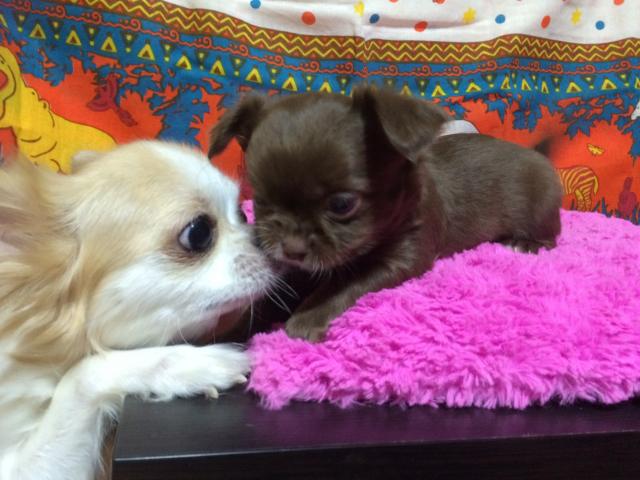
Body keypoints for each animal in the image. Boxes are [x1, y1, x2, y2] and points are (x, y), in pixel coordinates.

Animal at [208, 86, 562, 342]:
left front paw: (308, 315)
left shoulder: (403, 256)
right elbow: (270, 299)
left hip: (543, 205)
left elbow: (347, 280)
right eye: (261, 200)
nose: (292, 249)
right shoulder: (300, 269)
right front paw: (228, 334)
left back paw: (525, 243)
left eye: (342, 205)